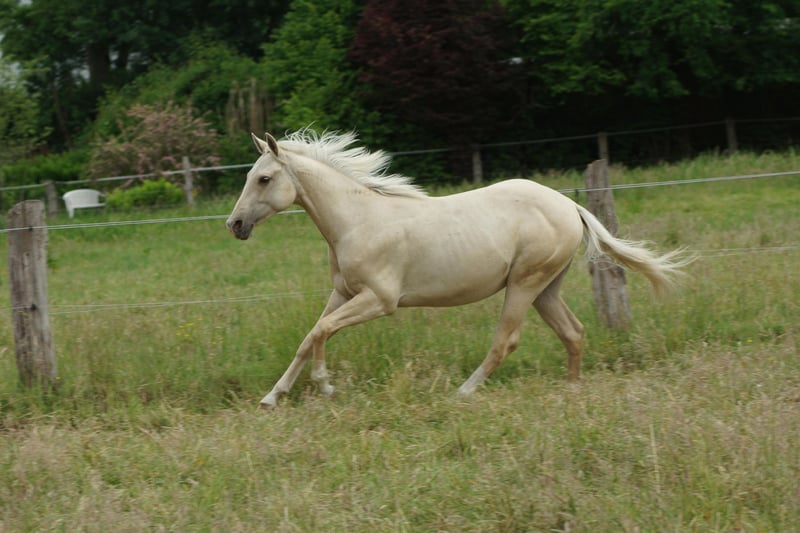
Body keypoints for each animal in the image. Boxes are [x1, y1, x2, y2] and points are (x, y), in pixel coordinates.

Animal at [227, 130, 688, 408]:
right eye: (251, 175)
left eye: (264, 179)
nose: (234, 224)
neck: (358, 221)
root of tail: (569, 206)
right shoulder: (343, 293)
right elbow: (309, 337)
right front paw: (272, 397)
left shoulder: (379, 300)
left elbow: (321, 332)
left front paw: (325, 384)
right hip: (545, 289)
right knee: (573, 332)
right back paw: (571, 392)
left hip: (524, 284)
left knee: (506, 341)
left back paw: (463, 392)